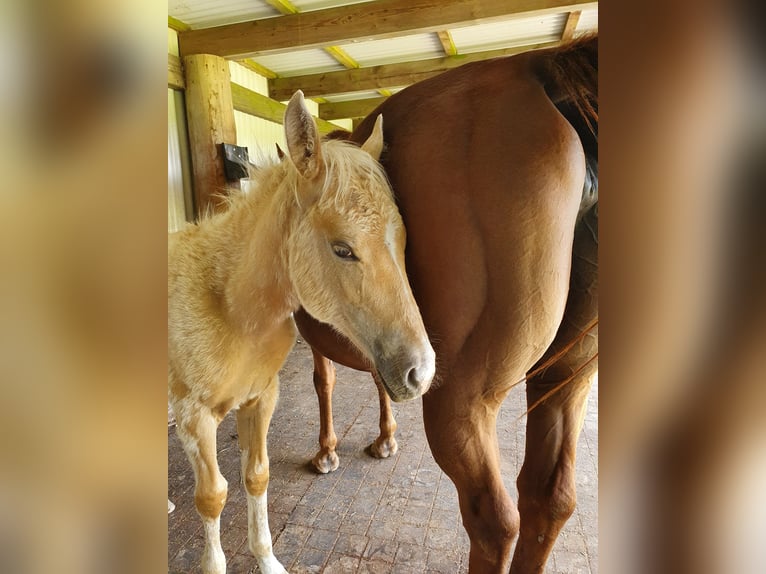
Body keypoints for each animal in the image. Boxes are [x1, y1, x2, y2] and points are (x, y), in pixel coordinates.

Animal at [169, 91, 438, 574]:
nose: (420, 373)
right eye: (342, 249)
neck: (228, 305)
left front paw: (268, 560)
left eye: (403, 239)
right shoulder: (192, 417)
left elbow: (257, 477)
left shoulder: (260, 398)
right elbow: (212, 496)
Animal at [296, 38, 600, 572]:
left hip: (463, 402)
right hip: (567, 377)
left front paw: (327, 452)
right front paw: (385, 439)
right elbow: (379, 379)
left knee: (495, 520)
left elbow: (324, 382)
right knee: (548, 499)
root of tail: (537, 67)